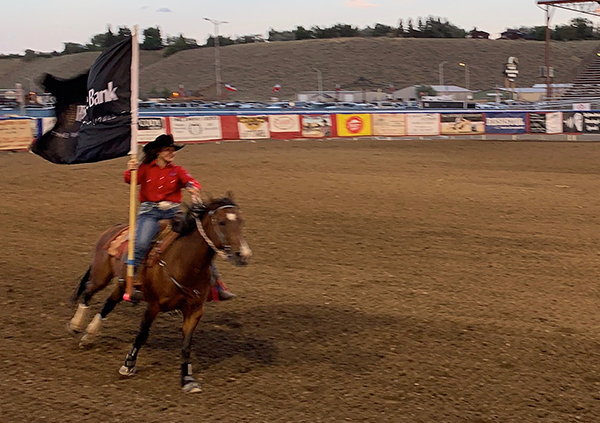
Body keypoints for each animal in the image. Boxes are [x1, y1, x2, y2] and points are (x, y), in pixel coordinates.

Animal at [67, 195, 251, 394]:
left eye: (241, 221)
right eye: (222, 222)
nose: (244, 254)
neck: (183, 262)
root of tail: (113, 229)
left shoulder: (195, 310)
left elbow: (186, 345)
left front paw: (187, 379)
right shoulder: (153, 305)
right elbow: (142, 334)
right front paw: (128, 365)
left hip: (123, 285)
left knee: (109, 302)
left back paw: (89, 335)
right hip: (102, 275)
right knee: (88, 291)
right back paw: (76, 325)